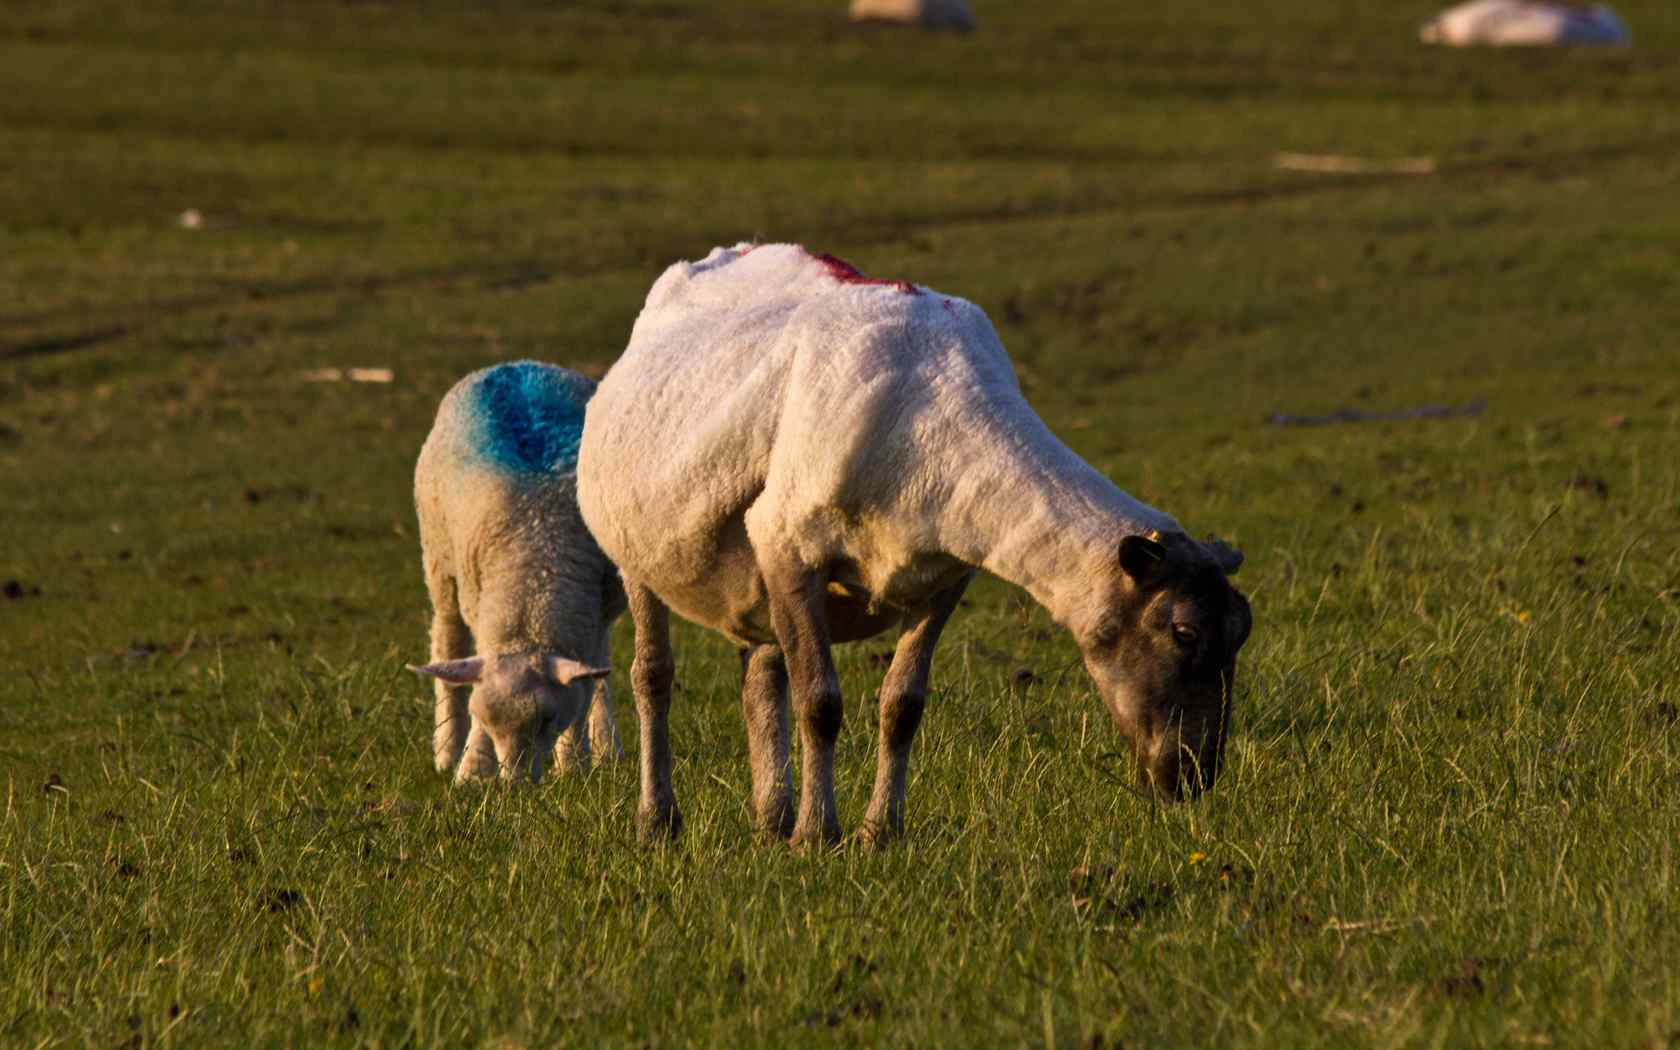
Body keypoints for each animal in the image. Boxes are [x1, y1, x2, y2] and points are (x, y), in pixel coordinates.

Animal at [409, 359, 628, 779]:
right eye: (485, 720)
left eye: (546, 720)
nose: (516, 783)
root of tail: (523, 365)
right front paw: (473, 767)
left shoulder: (592, 610)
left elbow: (585, 690)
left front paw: (573, 763)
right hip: (440, 562)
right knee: (447, 642)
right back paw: (446, 751)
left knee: (600, 669)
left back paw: (606, 747)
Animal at [577, 245, 1249, 843]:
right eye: (1183, 632)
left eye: (1240, 634)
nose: (1194, 777)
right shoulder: (790, 547)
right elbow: (819, 703)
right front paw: (818, 835)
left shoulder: (942, 581)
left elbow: (902, 707)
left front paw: (879, 832)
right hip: (640, 553)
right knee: (653, 678)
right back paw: (659, 820)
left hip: (754, 582)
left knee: (761, 680)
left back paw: (771, 819)